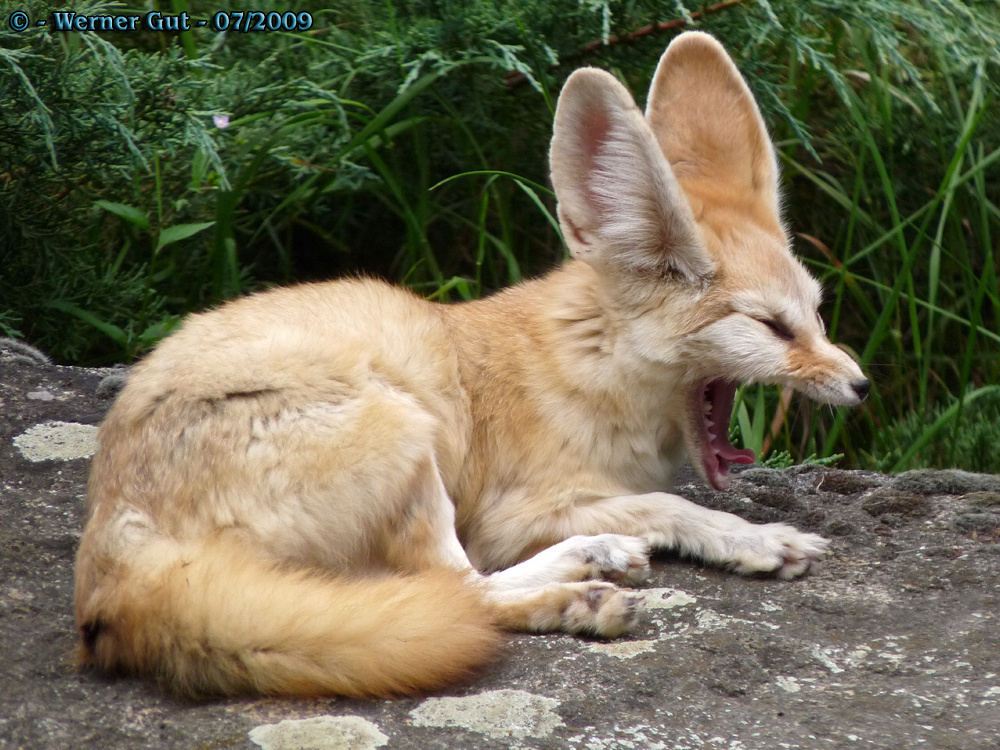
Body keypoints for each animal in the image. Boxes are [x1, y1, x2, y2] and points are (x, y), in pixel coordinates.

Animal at [74, 30, 868, 700]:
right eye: (771, 327)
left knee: (461, 586)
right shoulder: (515, 511)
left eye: (817, 313)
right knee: (462, 591)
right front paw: (754, 538)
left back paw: (595, 557)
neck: (589, 355)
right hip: (405, 434)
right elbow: (670, 504)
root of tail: (116, 567)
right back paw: (580, 596)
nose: (860, 385)